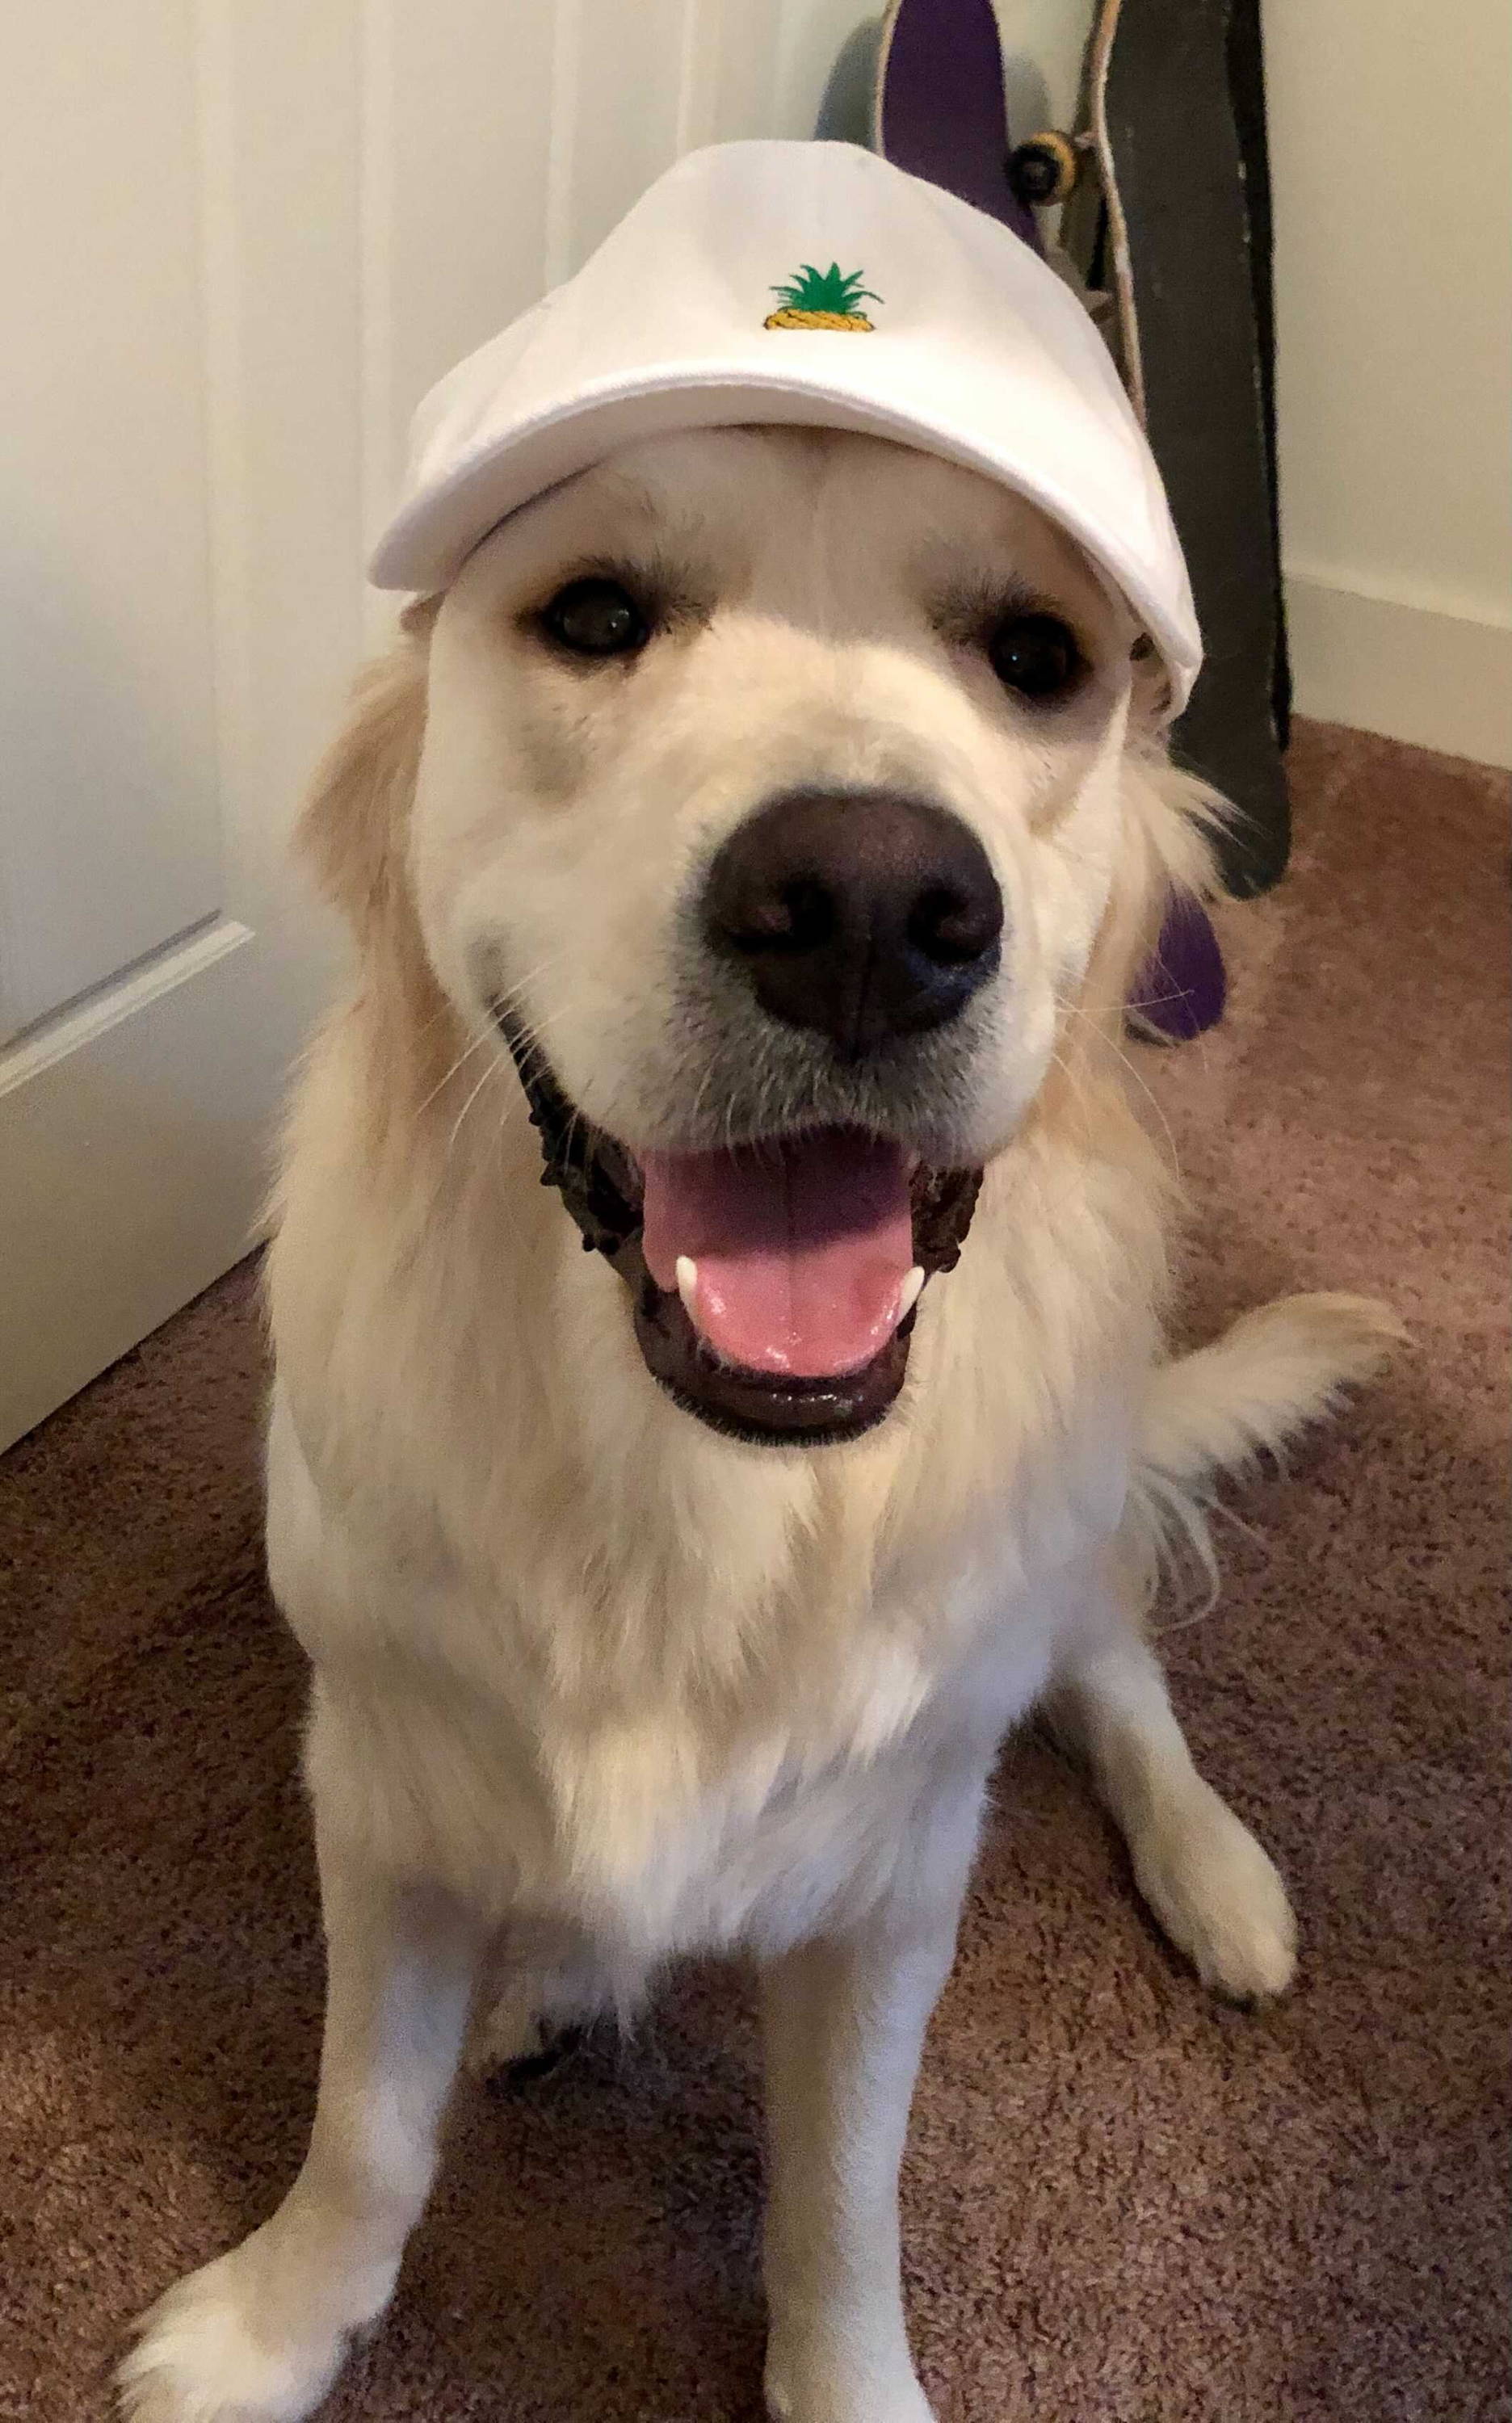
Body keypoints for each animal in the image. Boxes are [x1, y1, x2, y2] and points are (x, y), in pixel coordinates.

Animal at [124, 417, 1396, 2423]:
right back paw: (558, 1978)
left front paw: (843, 2379)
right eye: (591, 614)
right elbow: (366, 2124)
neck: (708, 1475)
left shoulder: (892, 1876)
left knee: (1121, 1680)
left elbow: (841, 2194)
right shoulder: (382, 1778)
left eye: (1036, 654)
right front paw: (278, 2320)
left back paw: (1219, 1882)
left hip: (1061, 1555)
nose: (869, 910)